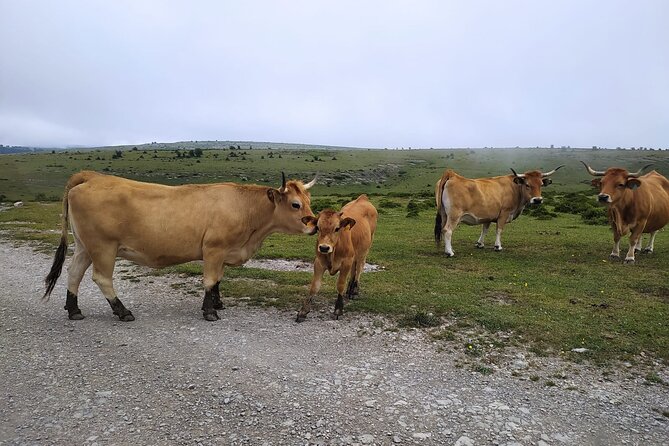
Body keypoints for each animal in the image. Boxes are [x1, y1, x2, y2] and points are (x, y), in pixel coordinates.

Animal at [44, 170, 316, 320]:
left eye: (309, 201)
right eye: (295, 204)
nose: (314, 225)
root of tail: (90, 177)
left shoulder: (224, 251)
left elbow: (218, 280)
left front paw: (217, 302)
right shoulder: (213, 249)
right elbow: (210, 280)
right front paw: (209, 311)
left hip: (84, 246)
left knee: (74, 273)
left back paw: (73, 310)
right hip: (103, 247)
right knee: (101, 278)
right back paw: (122, 311)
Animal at [434, 166, 564, 256]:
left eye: (541, 184)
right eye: (527, 184)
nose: (537, 200)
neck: (515, 188)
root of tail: (452, 175)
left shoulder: (487, 216)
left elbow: (484, 230)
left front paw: (480, 244)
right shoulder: (504, 214)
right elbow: (499, 230)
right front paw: (498, 246)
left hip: (444, 214)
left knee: (443, 229)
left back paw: (449, 249)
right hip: (454, 216)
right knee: (447, 230)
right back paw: (449, 252)